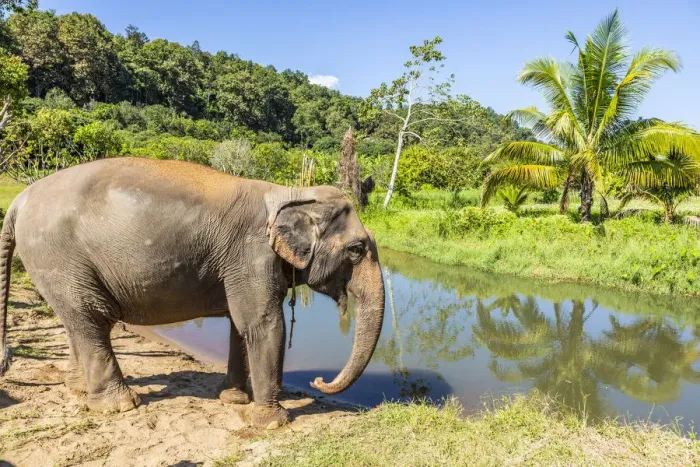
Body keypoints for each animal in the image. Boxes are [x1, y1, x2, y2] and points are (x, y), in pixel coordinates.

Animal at [0, 157, 385, 428]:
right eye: (356, 250)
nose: (319, 381)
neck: (288, 192)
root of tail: (19, 200)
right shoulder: (250, 253)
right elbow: (263, 324)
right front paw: (272, 423)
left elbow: (240, 325)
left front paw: (234, 400)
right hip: (57, 254)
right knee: (92, 319)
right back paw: (120, 405)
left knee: (75, 320)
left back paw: (79, 389)